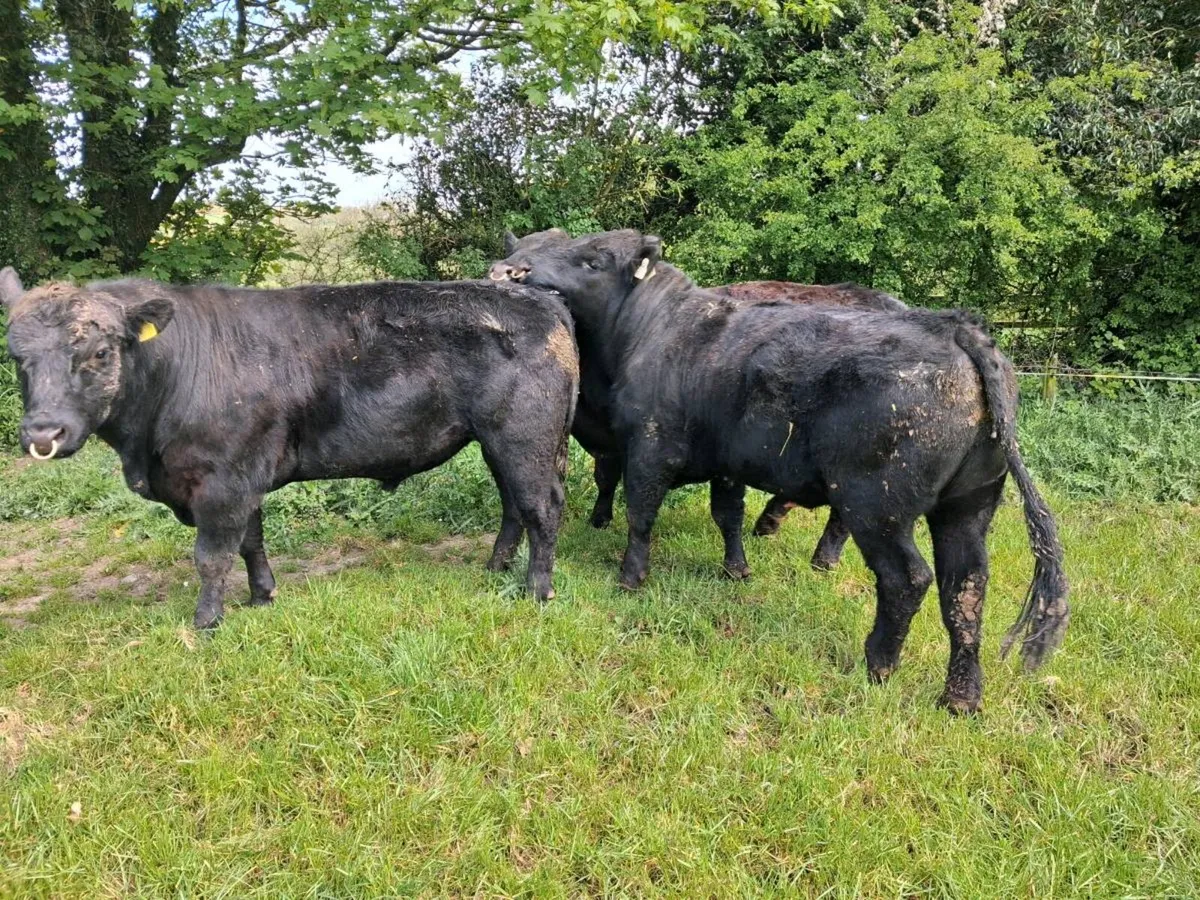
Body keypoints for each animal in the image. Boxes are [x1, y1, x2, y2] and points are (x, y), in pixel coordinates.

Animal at [0, 267, 577, 630]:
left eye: (100, 352)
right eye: (15, 356)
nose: (43, 434)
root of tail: (538, 299)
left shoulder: (222, 482)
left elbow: (212, 556)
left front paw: (206, 622)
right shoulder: (243, 477)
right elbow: (250, 542)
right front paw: (262, 597)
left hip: (524, 437)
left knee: (542, 507)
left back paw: (537, 590)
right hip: (497, 442)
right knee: (513, 505)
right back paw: (496, 568)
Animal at [496, 228, 907, 572]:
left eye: (592, 262)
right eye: (517, 248)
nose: (507, 271)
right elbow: (609, 478)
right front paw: (600, 520)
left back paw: (822, 557)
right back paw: (770, 523)